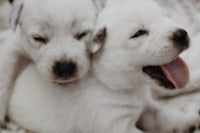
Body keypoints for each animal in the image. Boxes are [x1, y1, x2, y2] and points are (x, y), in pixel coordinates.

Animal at [8, 0, 199, 133]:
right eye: (138, 33)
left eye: (166, 16)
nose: (182, 34)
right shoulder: (115, 125)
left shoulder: (146, 106)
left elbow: (162, 114)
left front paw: (187, 121)